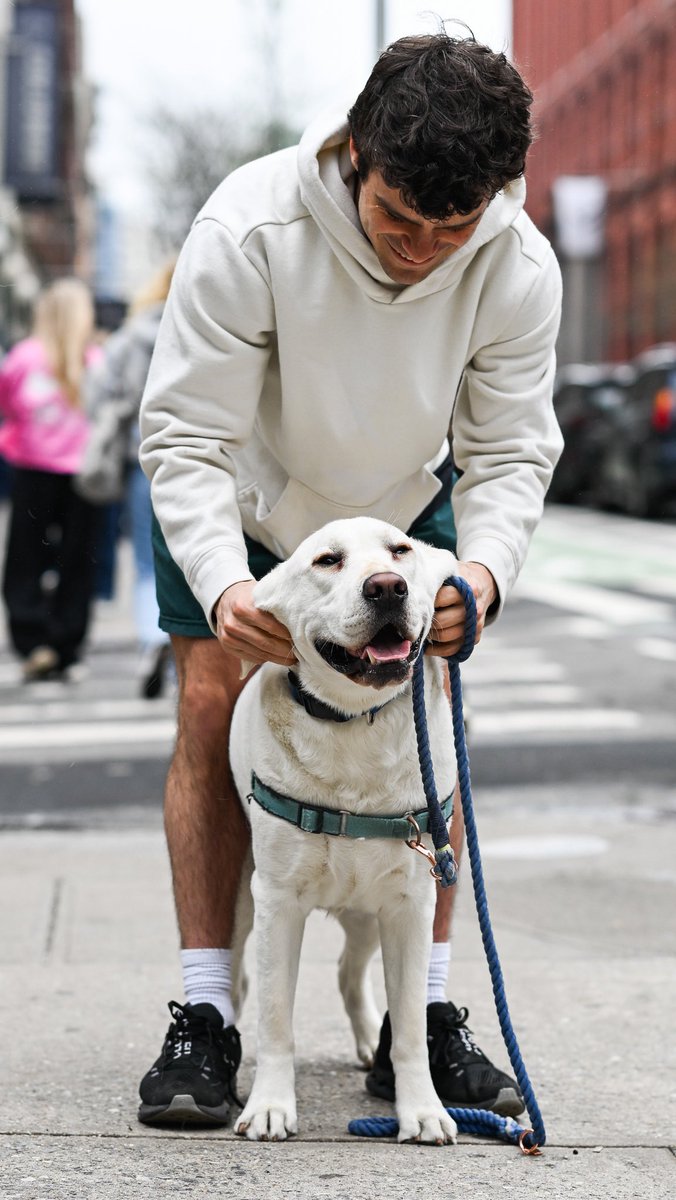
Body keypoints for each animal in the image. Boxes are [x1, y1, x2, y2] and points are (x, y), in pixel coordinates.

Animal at [231, 513, 461, 1142]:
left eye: (400, 551)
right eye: (327, 560)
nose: (386, 588)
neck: (355, 722)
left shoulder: (412, 904)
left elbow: (409, 1027)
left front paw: (421, 1110)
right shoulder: (277, 901)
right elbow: (276, 1018)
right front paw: (269, 1106)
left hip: (367, 912)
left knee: (348, 971)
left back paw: (365, 1046)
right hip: (240, 898)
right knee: (239, 980)